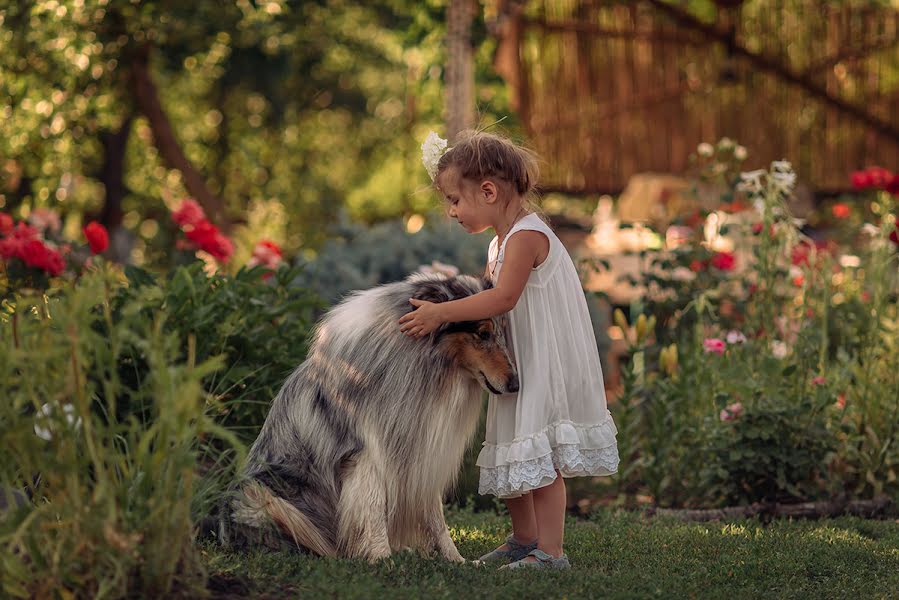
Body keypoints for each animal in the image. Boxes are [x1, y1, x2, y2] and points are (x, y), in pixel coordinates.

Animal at [220, 272, 520, 564]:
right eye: (483, 333)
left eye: (503, 333)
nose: (516, 384)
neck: (425, 364)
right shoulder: (366, 455)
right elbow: (373, 508)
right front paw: (382, 559)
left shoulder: (422, 452)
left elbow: (435, 515)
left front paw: (456, 559)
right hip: (258, 494)